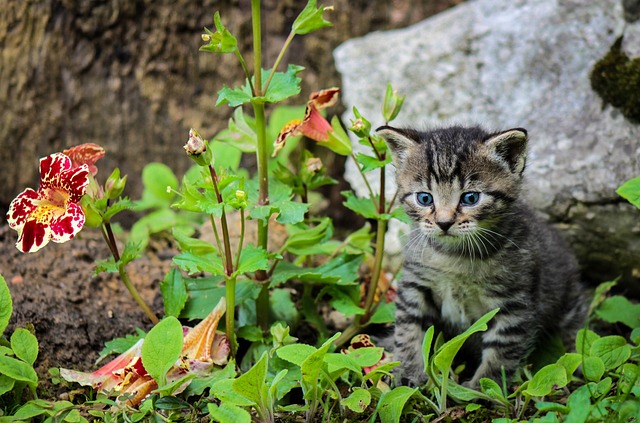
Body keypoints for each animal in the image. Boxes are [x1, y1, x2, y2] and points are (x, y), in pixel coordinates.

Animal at [378, 125, 588, 388]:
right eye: (424, 198)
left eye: (471, 198)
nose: (444, 223)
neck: (454, 255)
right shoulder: (415, 284)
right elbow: (409, 328)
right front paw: (409, 370)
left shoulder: (513, 302)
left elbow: (502, 349)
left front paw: (484, 386)